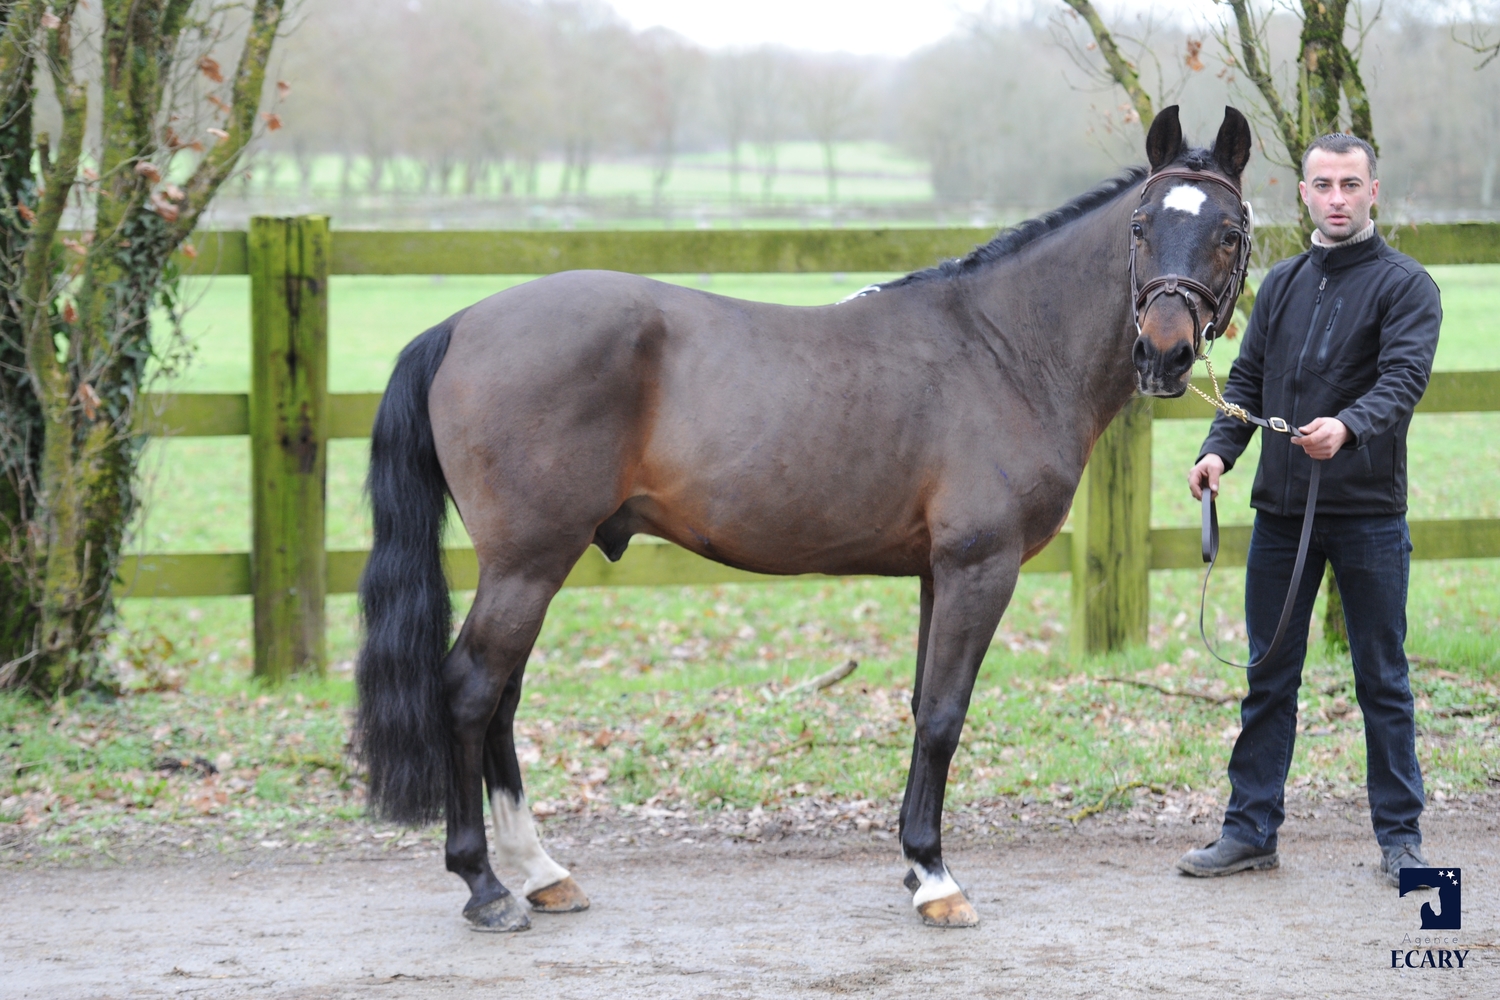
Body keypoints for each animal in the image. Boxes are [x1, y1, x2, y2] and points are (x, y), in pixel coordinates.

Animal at [351, 103, 1254, 929]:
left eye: (1229, 232)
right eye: (1140, 226)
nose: (1164, 353)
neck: (1003, 349)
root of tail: (460, 324)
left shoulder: (938, 573)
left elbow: (922, 705)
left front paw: (914, 862)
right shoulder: (979, 567)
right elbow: (943, 716)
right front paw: (935, 876)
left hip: (531, 566)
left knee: (501, 697)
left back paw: (541, 872)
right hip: (528, 563)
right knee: (472, 691)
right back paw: (486, 884)